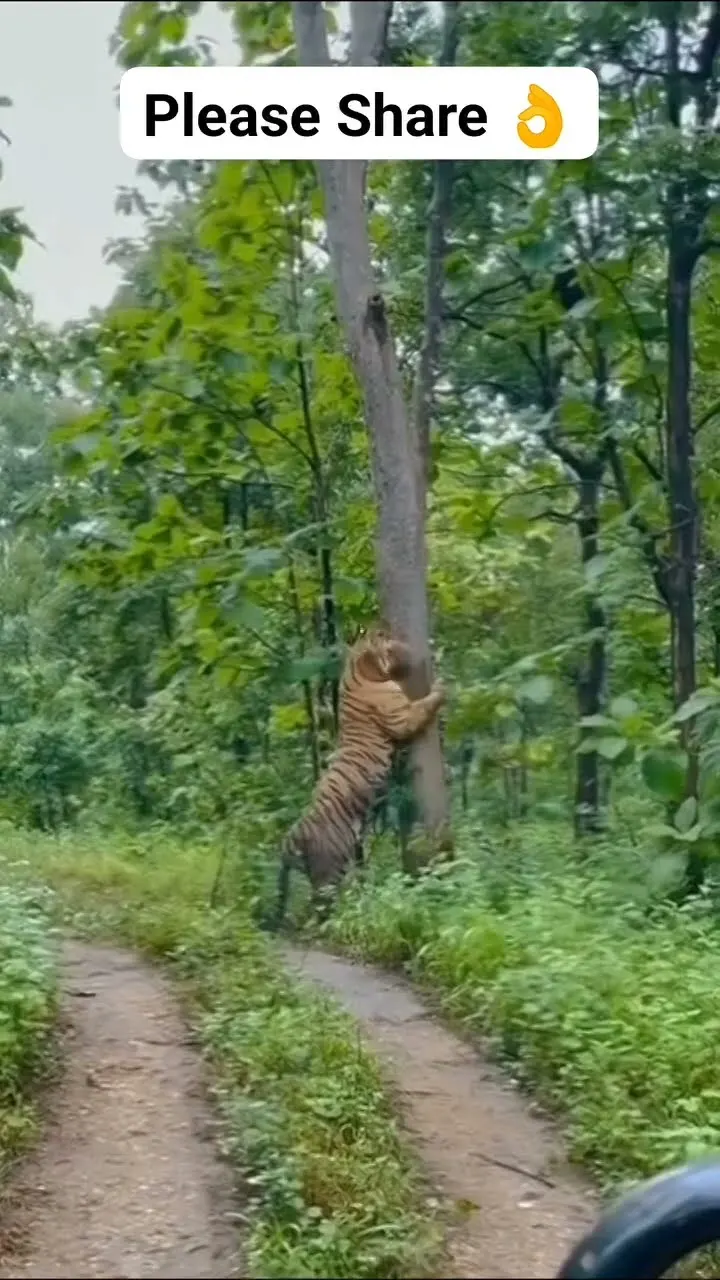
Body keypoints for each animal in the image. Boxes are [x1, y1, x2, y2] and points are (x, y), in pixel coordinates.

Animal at [259, 625, 446, 931]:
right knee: (319, 907)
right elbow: (423, 706)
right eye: (392, 645)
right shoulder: (401, 717)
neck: (360, 668)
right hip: (329, 869)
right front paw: (442, 687)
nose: (412, 650)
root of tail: (293, 835)